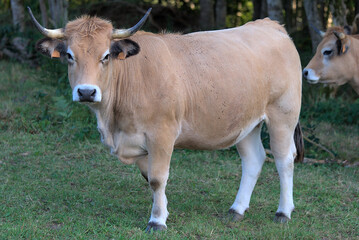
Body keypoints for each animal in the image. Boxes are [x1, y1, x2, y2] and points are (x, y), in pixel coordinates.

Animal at [28, 7, 304, 232]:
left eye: (105, 56)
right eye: (69, 55)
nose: (86, 92)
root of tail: (270, 25)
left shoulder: (162, 134)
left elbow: (157, 178)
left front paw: (157, 220)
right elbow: (148, 177)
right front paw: (163, 210)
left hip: (283, 115)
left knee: (284, 160)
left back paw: (283, 212)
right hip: (246, 123)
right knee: (253, 159)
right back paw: (236, 210)